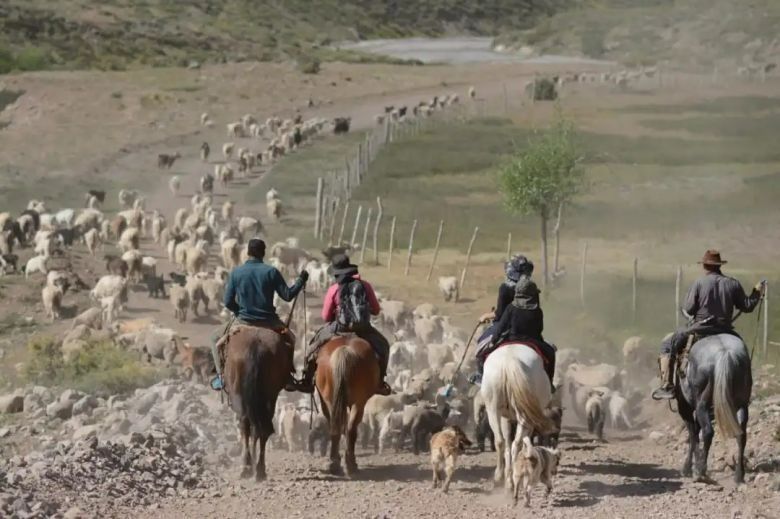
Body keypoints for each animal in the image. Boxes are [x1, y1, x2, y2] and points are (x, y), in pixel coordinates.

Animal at [224, 328, 290, 482]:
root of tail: (255, 347)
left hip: (243, 395)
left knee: (248, 425)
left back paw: (250, 468)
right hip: (268, 394)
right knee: (260, 428)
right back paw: (257, 469)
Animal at [316, 336, 380, 478]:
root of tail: (344, 350)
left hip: (332, 400)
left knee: (337, 428)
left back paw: (335, 464)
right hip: (358, 402)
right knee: (350, 429)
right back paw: (350, 464)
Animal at [482, 346, 556, 492]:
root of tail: (510, 360)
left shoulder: (505, 417)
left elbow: (507, 441)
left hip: (492, 408)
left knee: (501, 441)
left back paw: (503, 478)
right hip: (523, 416)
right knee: (516, 443)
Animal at [680, 336, 752, 486]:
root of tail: (724, 353)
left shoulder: (685, 408)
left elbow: (693, 434)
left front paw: (688, 468)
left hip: (702, 405)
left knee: (707, 432)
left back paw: (701, 473)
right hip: (742, 404)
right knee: (741, 435)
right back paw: (739, 475)